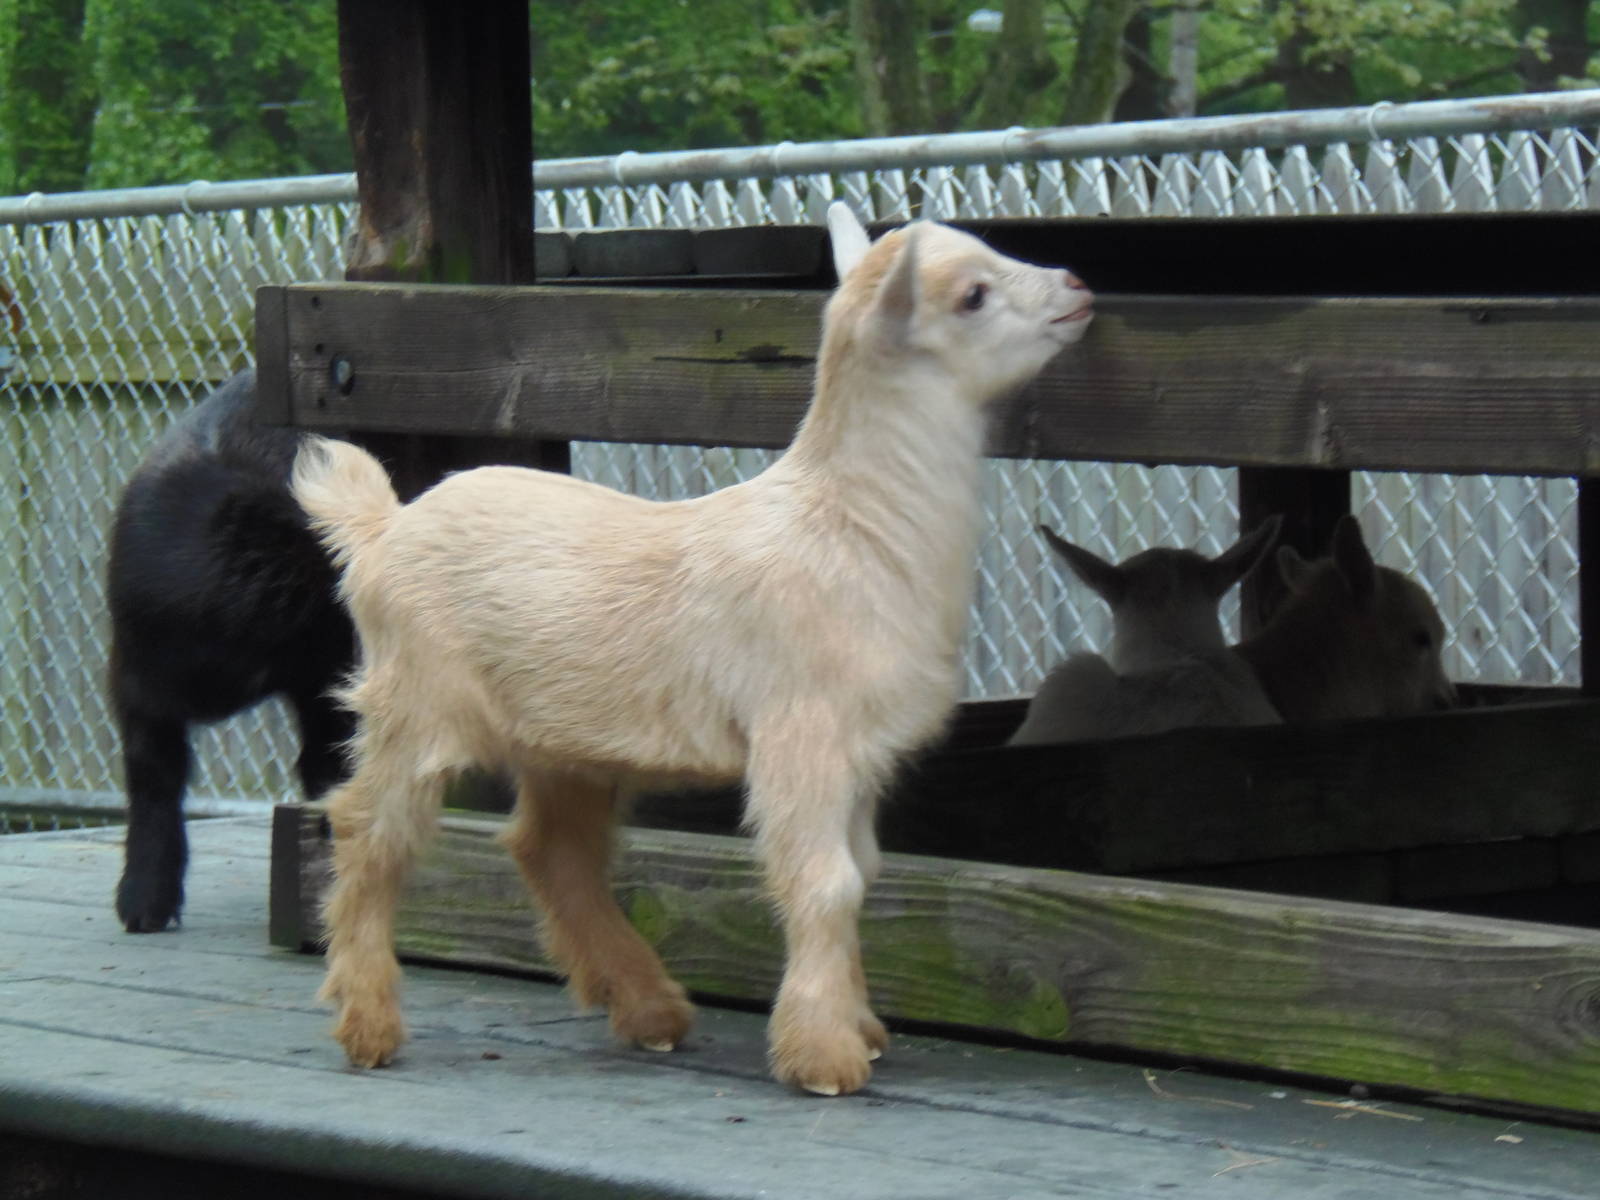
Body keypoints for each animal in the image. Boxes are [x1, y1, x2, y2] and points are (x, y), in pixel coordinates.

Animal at [290, 203, 1093, 1095]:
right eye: (973, 295)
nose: (1078, 287)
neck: (850, 523)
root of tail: (381, 527)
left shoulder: (859, 752)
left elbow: (864, 871)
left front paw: (859, 1027)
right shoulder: (802, 733)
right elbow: (825, 882)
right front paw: (824, 1057)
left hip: (563, 743)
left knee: (554, 850)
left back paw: (648, 1010)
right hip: (413, 703)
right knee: (369, 833)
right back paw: (368, 1023)